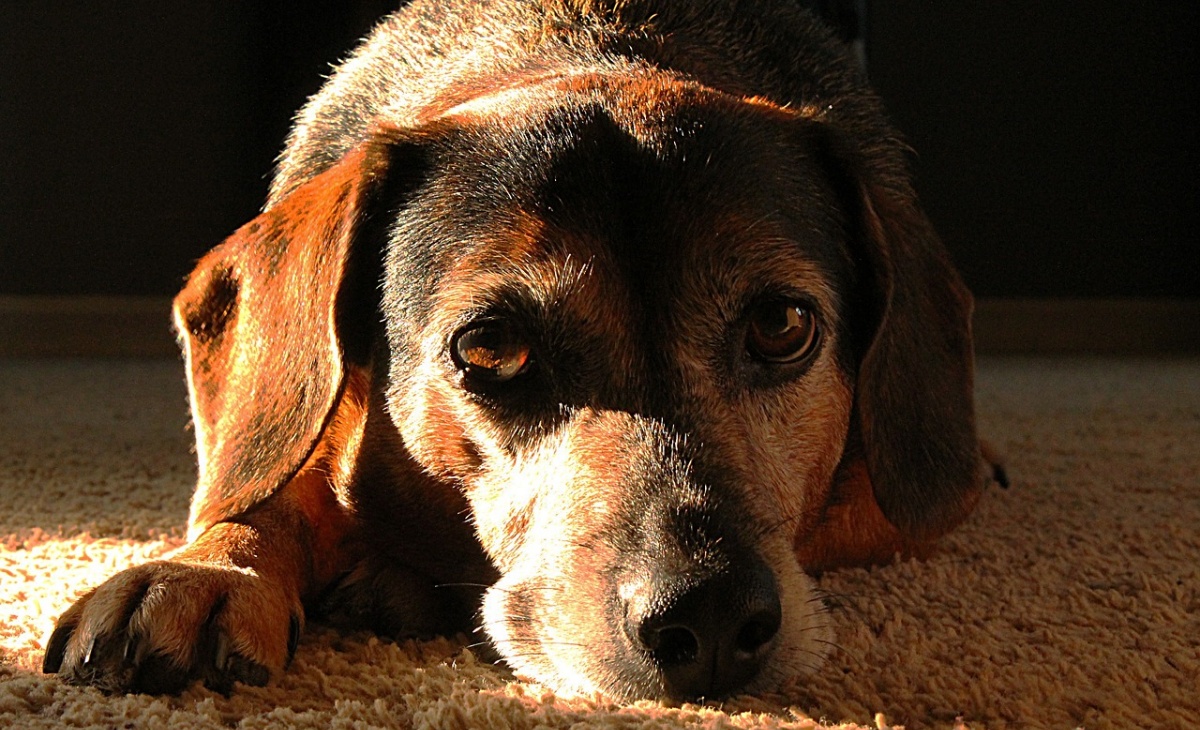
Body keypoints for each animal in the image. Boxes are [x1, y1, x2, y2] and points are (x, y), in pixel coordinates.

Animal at [42, 0, 988, 705]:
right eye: (491, 347)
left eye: (783, 326)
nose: (714, 619)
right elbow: (282, 479)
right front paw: (213, 569)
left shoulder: (886, 503)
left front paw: (388, 572)